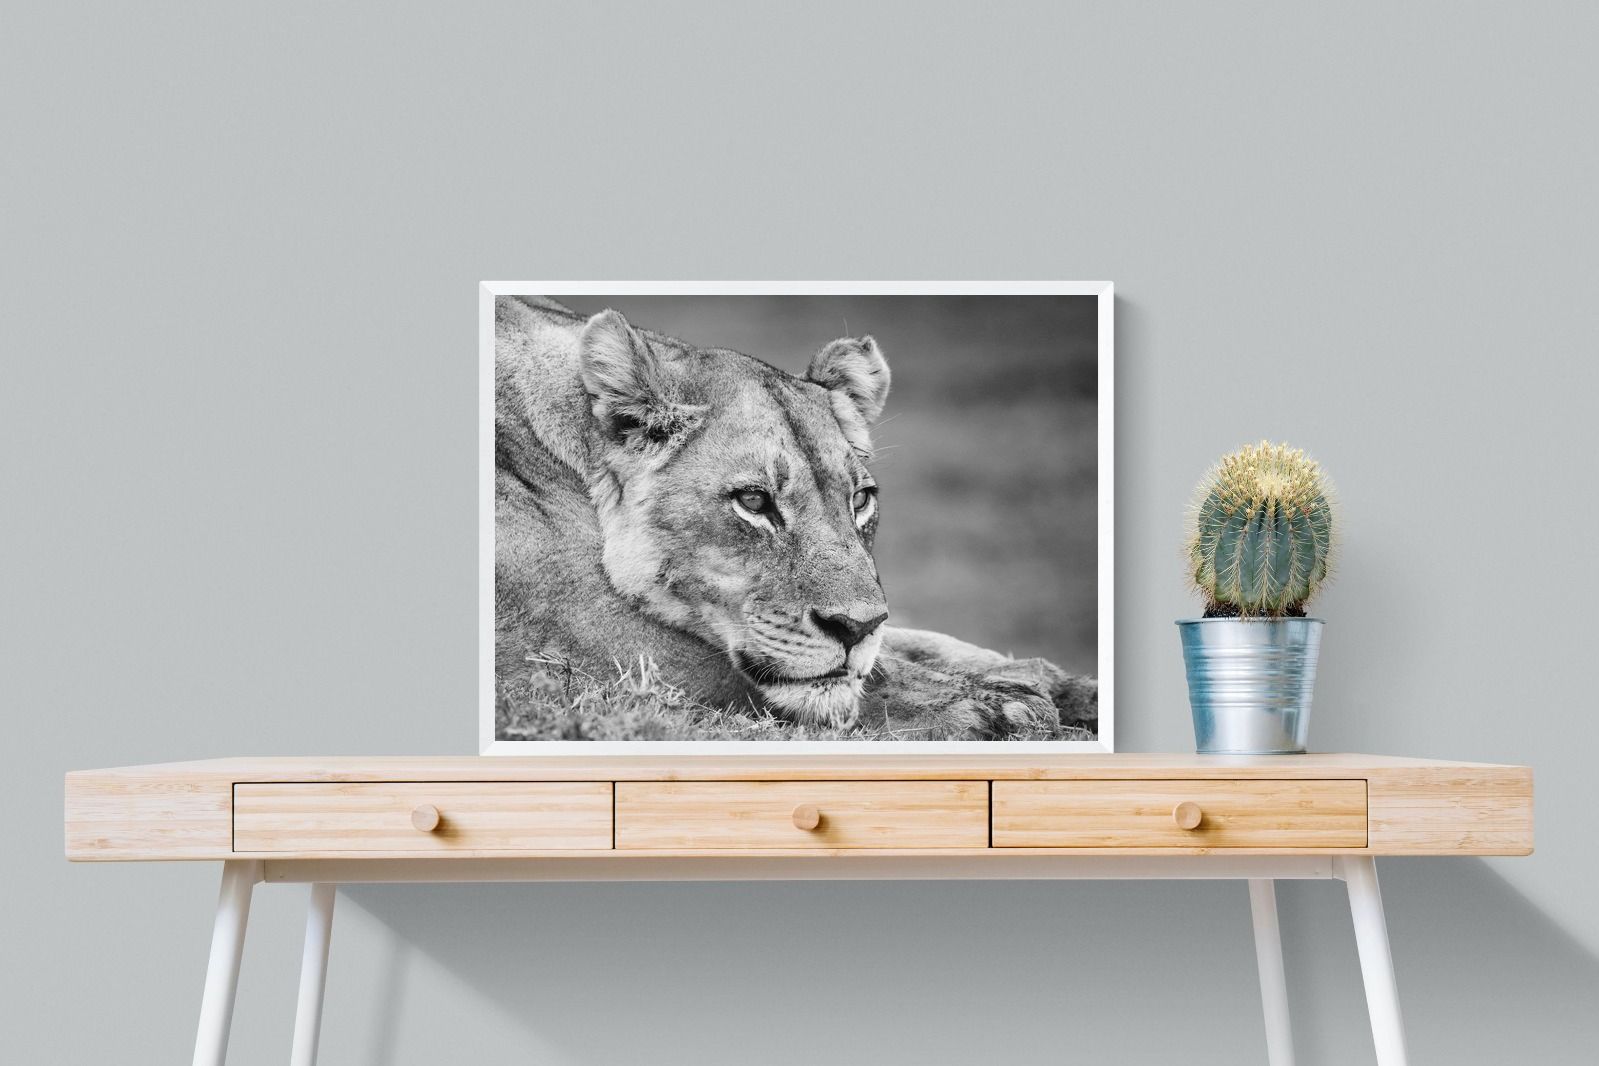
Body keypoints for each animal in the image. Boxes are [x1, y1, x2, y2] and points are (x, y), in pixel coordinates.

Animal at [494, 294, 1096, 740]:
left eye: (860, 500)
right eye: (754, 501)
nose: (855, 629)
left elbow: (916, 643)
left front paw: (1064, 687)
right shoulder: (591, 640)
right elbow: (860, 678)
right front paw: (1000, 707)